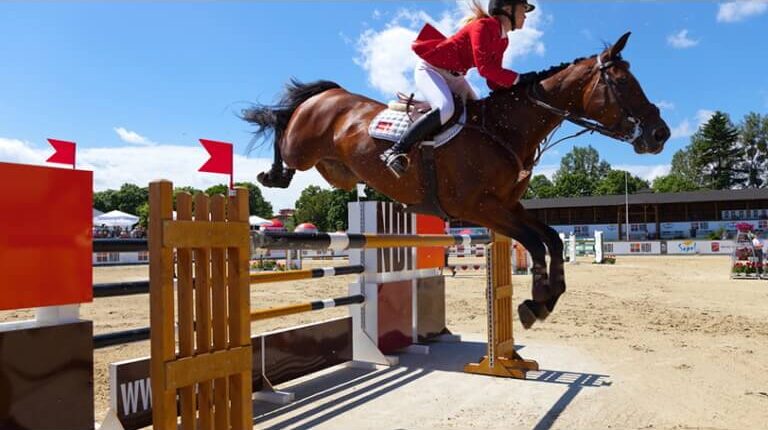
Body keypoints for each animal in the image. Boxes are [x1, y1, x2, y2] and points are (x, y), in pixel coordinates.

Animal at [243, 32, 670, 329]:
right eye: (623, 83)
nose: (660, 134)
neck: (503, 129)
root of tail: (330, 95)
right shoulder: (478, 207)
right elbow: (534, 243)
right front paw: (535, 301)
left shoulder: (506, 205)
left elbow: (550, 238)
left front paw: (549, 298)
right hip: (302, 146)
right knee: (281, 124)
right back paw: (272, 174)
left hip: (335, 170)